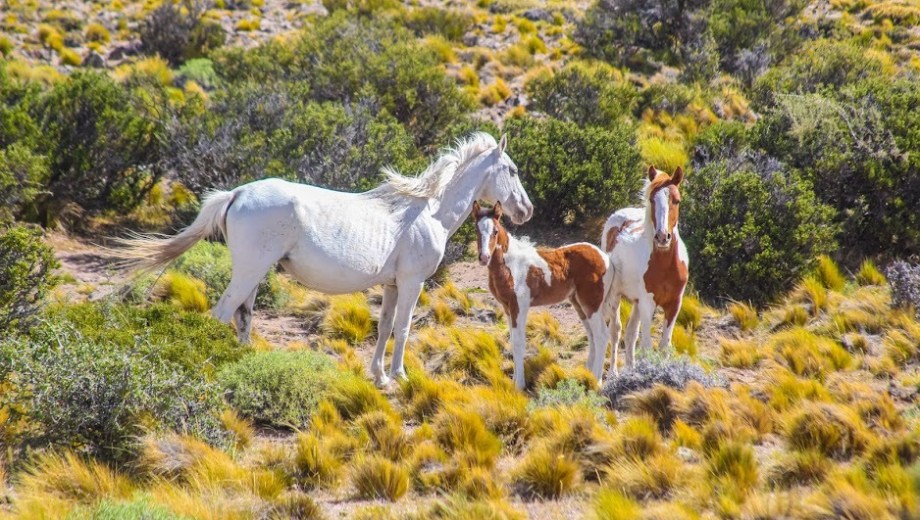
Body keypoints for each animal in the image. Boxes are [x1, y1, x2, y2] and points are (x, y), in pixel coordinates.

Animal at [118, 132, 533, 387]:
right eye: (512, 170)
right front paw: (400, 377)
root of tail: (236, 194)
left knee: (243, 316)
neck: (429, 212)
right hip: (249, 270)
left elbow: (384, 327)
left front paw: (379, 376)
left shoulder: (392, 284)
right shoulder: (412, 282)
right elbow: (403, 329)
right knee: (222, 314)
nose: (526, 210)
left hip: (254, 273)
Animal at [473, 201, 612, 389]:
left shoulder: (520, 306)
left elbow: (519, 342)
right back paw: (587, 375)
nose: (484, 257)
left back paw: (596, 382)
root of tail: (604, 257)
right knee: (592, 336)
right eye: (476, 230)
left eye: (495, 231)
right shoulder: (508, 307)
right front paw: (515, 380)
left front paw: (519, 385)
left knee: (602, 336)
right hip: (579, 303)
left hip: (592, 303)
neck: (511, 265)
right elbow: (512, 341)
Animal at [600, 165, 689, 377]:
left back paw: (631, 369)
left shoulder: (674, 304)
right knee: (616, 331)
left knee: (630, 333)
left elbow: (664, 346)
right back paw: (614, 372)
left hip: (636, 302)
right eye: (652, 200)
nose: (662, 237)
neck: (665, 266)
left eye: (676, 200)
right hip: (616, 297)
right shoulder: (648, 303)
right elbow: (647, 346)